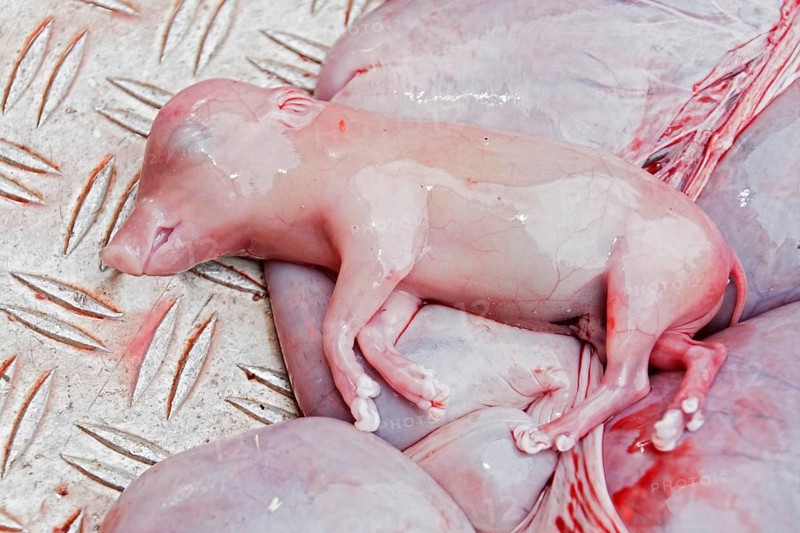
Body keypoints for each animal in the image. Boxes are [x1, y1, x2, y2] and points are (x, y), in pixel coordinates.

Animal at [100, 79, 746, 454]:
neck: (330, 162)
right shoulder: (407, 278)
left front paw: (363, 408)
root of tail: (727, 258)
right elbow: (377, 326)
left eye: (189, 143)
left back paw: (542, 436)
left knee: (630, 379)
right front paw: (427, 392)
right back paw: (677, 421)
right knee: (701, 353)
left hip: (647, 282)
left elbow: (340, 319)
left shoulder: (382, 226)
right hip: (653, 317)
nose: (113, 252)